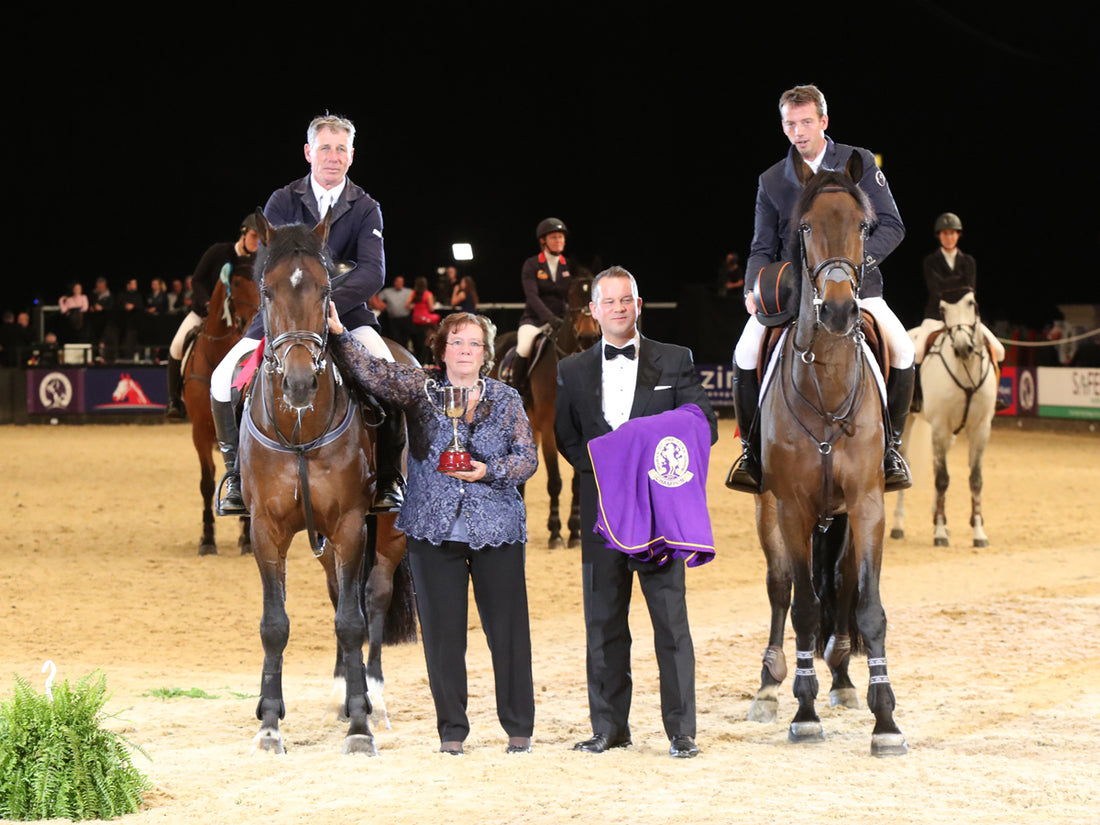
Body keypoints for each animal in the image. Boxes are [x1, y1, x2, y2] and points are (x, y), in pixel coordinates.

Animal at [181, 268, 258, 558]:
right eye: (234, 282)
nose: (252, 320)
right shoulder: (200, 434)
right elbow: (206, 484)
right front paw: (207, 539)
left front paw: (247, 540)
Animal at [239, 213, 415, 756]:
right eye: (266, 290)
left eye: (326, 290)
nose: (299, 384)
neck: (299, 429)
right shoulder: (267, 530)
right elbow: (274, 625)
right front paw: (269, 723)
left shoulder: (352, 524)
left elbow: (354, 622)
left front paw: (359, 726)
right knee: (340, 591)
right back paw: (340, 693)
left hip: (389, 530)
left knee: (372, 596)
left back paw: (372, 697)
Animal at [492, 271, 598, 552]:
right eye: (572, 295)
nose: (588, 337)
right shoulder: (550, 430)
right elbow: (555, 481)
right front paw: (556, 533)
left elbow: (576, 483)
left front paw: (575, 532)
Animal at [748, 158, 910, 761]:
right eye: (805, 227)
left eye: (863, 227)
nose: (840, 309)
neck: (830, 381)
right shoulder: (793, 507)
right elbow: (803, 606)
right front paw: (804, 710)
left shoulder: (866, 505)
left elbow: (866, 605)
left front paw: (885, 720)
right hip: (769, 508)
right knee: (780, 587)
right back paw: (769, 685)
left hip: (839, 514)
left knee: (839, 582)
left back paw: (841, 676)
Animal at [893, 290, 998, 550]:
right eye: (942, 310)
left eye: (971, 303)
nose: (963, 348)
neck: (966, 368)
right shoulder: (940, 426)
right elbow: (942, 479)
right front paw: (940, 532)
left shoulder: (980, 429)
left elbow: (975, 480)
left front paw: (978, 532)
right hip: (910, 423)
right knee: (907, 462)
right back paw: (898, 526)